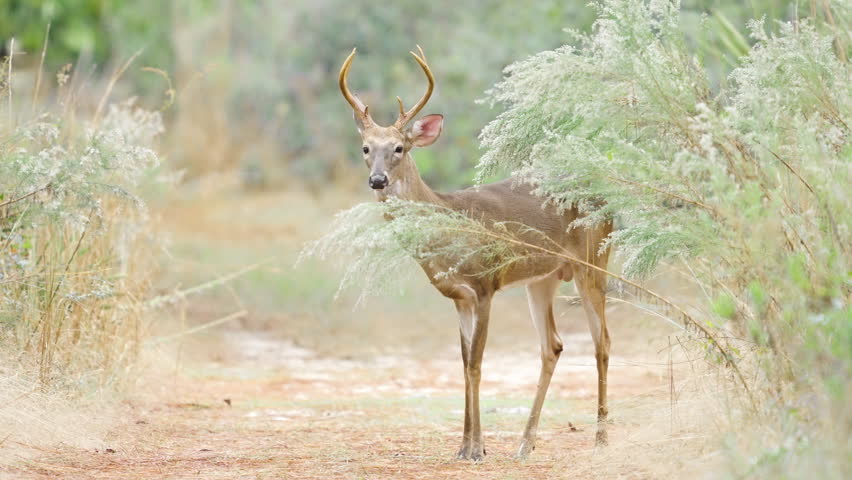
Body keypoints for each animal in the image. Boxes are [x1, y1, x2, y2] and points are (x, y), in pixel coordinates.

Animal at [338, 46, 614, 461]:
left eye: (399, 148)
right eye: (366, 149)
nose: (377, 180)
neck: (447, 223)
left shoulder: (485, 285)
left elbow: (477, 364)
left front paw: (477, 449)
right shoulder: (459, 297)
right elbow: (463, 362)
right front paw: (465, 445)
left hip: (593, 262)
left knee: (602, 343)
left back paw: (600, 439)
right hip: (544, 278)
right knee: (552, 345)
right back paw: (525, 443)